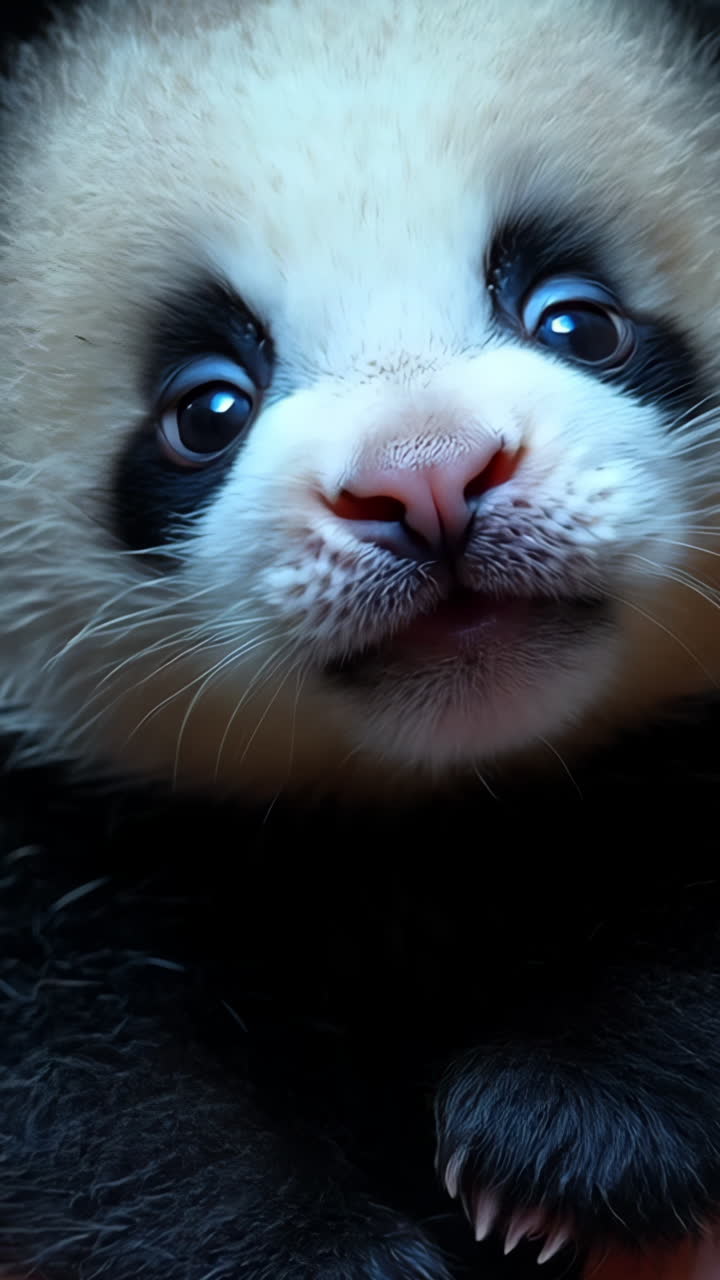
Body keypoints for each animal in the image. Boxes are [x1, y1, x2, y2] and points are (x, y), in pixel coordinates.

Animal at [2, 0, 720, 1276]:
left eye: (580, 319)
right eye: (207, 408)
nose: (428, 479)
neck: (443, 805)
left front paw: (573, 1127)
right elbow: (86, 1067)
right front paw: (314, 1249)